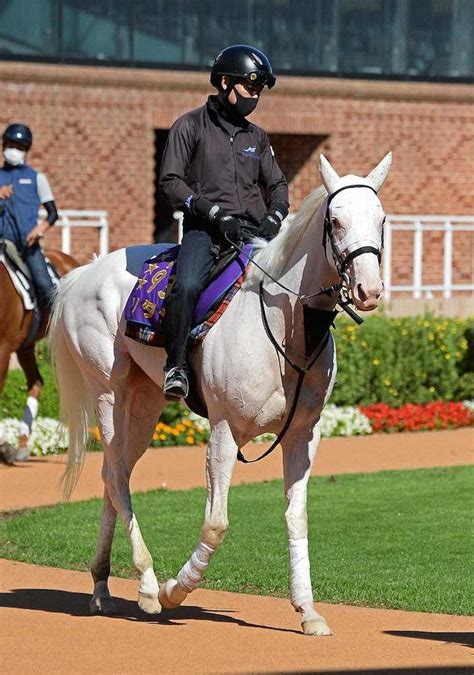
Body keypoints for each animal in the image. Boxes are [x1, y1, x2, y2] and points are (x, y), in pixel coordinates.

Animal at [48, 152, 390, 632]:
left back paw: (101, 587)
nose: (369, 290)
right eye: (336, 221)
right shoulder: (224, 433)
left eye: (380, 219)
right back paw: (148, 586)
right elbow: (216, 523)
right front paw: (175, 589)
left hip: (144, 404)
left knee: (115, 477)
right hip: (107, 393)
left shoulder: (304, 437)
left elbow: (296, 518)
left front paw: (307, 610)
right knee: (116, 477)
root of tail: (83, 272)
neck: (285, 330)